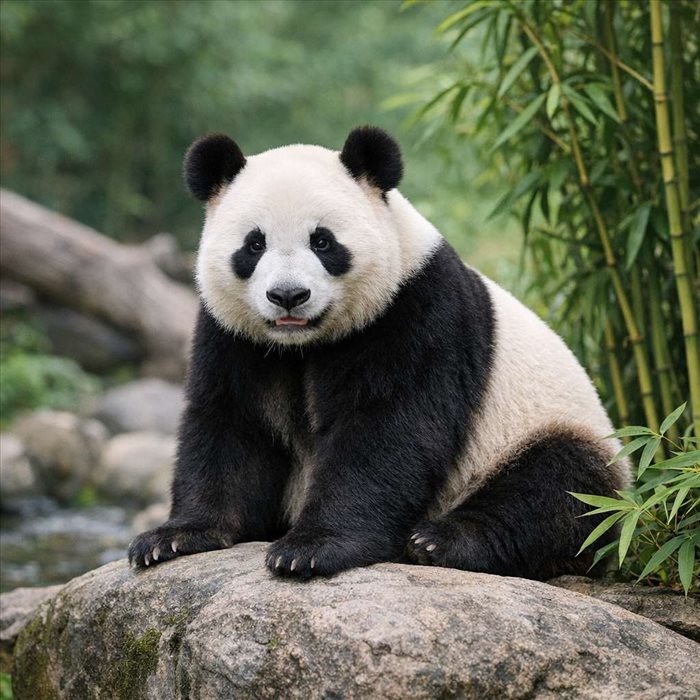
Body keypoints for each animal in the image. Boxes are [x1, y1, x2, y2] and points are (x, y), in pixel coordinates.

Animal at [129, 126, 629, 580]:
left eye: (322, 241)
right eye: (254, 244)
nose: (288, 295)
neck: (301, 346)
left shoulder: (416, 310)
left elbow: (387, 429)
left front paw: (311, 549)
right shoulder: (233, 335)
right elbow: (231, 423)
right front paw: (174, 537)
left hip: (545, 432)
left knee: (560, 489)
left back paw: (440, 541)